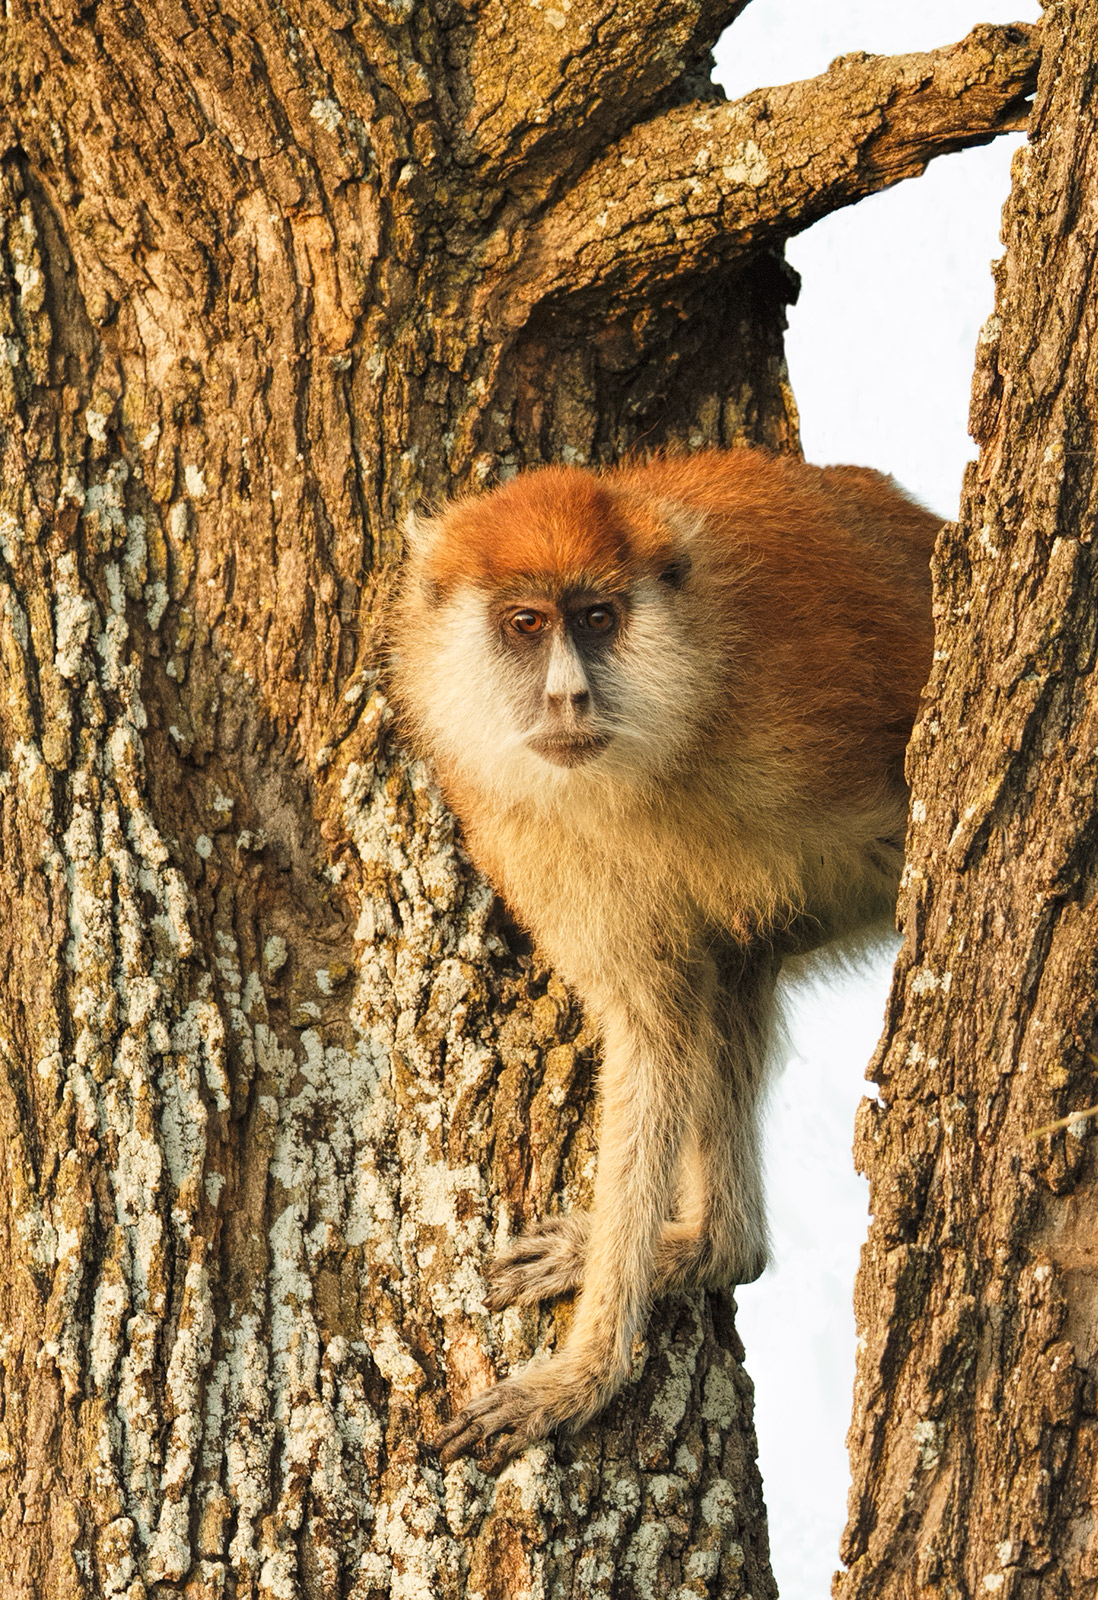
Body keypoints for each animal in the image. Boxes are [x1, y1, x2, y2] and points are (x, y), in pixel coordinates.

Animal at [387, 447, 938, 1470]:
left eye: (598, 618)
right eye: (527, 623)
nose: (568, 696)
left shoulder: (803, 711)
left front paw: (580, 1373)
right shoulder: (524, 822)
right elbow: (653, 1025)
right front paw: (589, 1362)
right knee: (727, 975)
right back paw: (716, 1247)